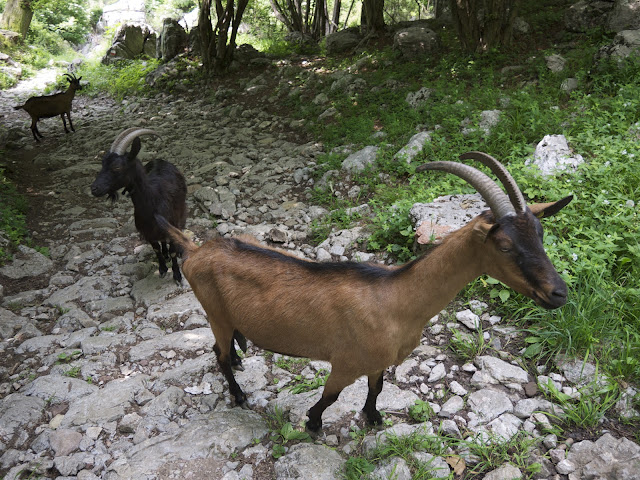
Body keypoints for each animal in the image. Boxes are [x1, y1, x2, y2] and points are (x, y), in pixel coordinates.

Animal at [91, 128, 189, 284]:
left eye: (117, 167)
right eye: (102, 164)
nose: (94, 188)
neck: (153, 201)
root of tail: (159, 160)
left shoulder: (171, 224)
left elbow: (173, 250)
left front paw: (177, 275)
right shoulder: (147, 232)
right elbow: (156, 249)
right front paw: (162, 269)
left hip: (182, 211)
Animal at [155, 153, 568, 432]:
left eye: (540, 233)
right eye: (504, 246)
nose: (559, 293)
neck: (397, 299)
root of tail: (195, 251)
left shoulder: (378, 361)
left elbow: (378, 387)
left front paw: (373, 417)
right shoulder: (346, 362)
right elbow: (330, 395)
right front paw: (313, 423)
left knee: (226, 349)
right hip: (215, 313)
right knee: (219, 354)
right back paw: (239, 394)